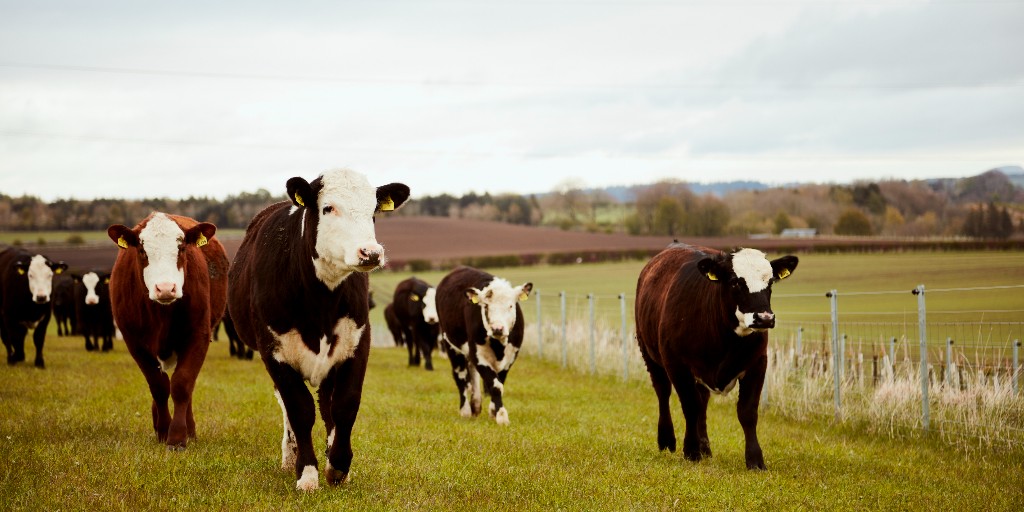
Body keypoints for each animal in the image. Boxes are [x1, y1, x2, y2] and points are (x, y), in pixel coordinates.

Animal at [108, 211, 228, 448]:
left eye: (181, 248)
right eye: (142, 250)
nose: (165, 288)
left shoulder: (198, 336)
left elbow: (182, 384)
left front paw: (179, 436)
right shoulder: (134, 342)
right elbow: (159, 387)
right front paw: (163, 430)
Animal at [228, 168, 407, 491]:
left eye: (373, 211)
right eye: (328, 208)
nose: (371, 253)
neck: (321, 300)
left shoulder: (357, 344)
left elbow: (345, 405)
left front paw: (338, 464)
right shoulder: (274, 352)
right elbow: (299, 409)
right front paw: (307, 473)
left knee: (327, 404)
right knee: (289, 407)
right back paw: (291, 456)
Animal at [432, 266, 532, 425]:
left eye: (511, 306)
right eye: (486, 306)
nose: (497, 328)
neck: (499, 346)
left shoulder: (511, 357)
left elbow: (499, 382)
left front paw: (493, 411)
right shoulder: (478, 355)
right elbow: (495, 385)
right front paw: (502, 416)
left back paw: (476, 405)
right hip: (451, 346)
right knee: (461, 378)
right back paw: (466, 410)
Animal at [630, 241, 798, 468]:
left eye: (770, 282)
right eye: (735, 282)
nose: (764, 318)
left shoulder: (757, 363)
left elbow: (747, 412)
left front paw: (755, 459)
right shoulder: (677, 364)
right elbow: (690, 406)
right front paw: (691, 451)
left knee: (702, 400)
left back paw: (705, 447)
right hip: (649, 354)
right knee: (663, 392)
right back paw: (667, 440)